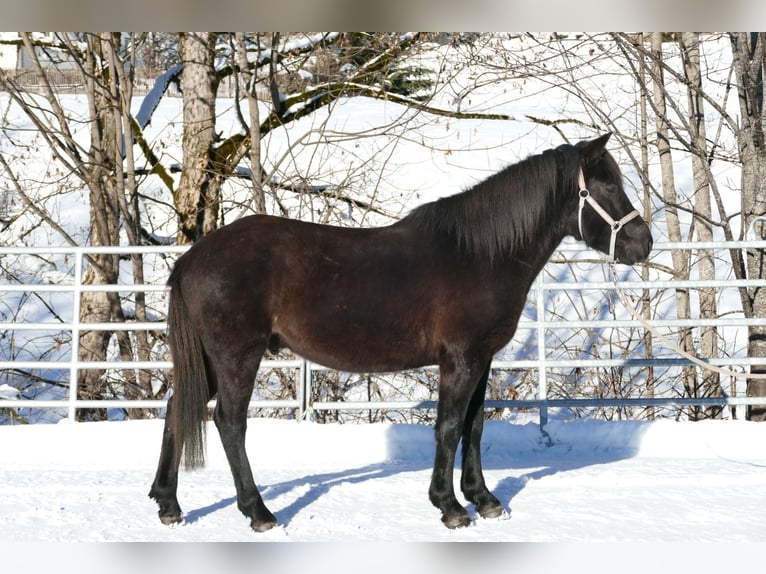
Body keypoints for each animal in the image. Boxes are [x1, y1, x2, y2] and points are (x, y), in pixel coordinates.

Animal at [150, 133, 656, 532]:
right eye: (607, 185)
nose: (644, 243)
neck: (479, 255)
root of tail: (192, 258)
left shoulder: (483, 359)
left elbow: (474, 426)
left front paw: (484, 498)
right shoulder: (461, 359)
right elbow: (449, 427)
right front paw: (450, 506)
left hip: (210, 359)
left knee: (177, 409)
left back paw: (168, 504)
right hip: (238, 356)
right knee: (229, 422)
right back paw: (258, 512)